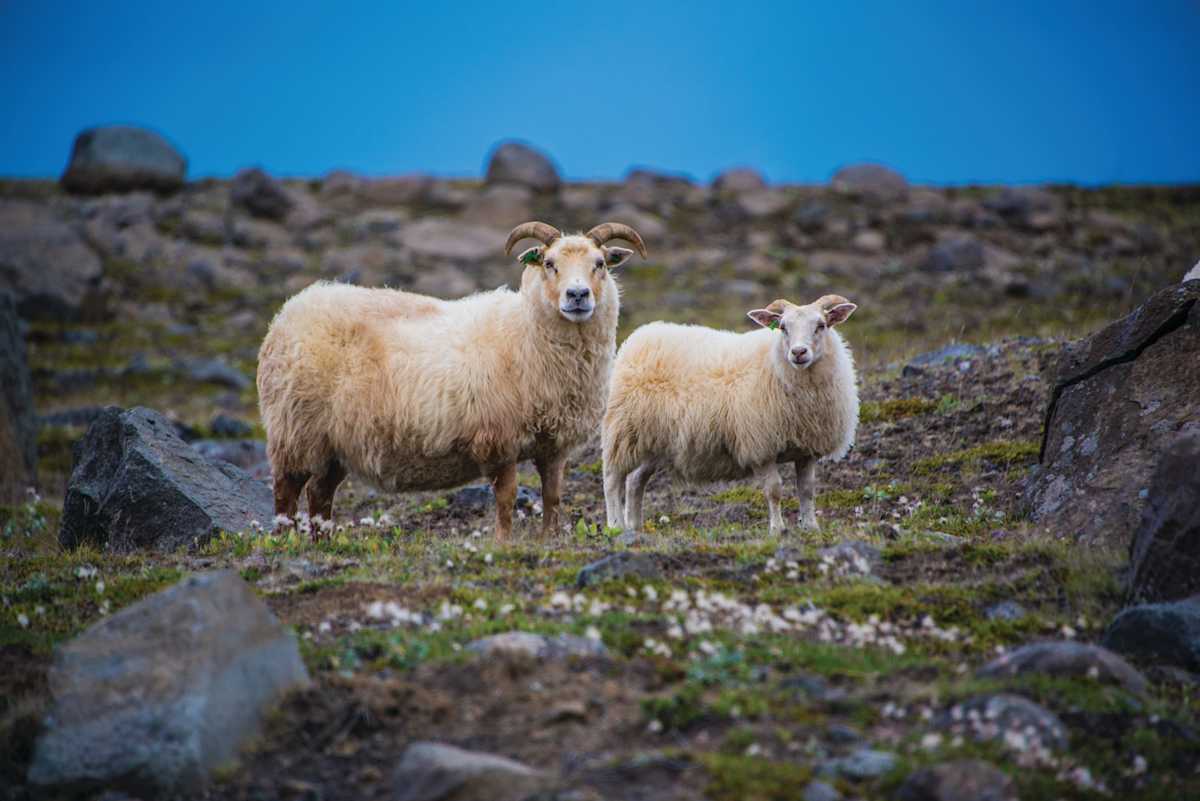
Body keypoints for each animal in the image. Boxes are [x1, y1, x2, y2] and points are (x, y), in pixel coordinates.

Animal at [256, 221, 647, 540]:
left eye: (600, 264)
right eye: (549, 264)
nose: (577, 296)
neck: (525, 332)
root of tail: (290, 311)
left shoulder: (552, 445)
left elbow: (553, 496)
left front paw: (549, 538)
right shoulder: (498, 441)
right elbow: (506, 498)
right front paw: (503, 543)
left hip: (334, 443)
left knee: (319, 494)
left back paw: (322, 542)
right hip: (295, 431)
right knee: (286, 492)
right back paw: (285, 542)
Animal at [602, 294, 859, 537]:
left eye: (821, 325)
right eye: (783, 327)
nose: (798, 352)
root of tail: (639, 336)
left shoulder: (806, 448)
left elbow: (807, 490)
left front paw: (811, 527)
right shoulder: (760, 446)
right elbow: (774, 490)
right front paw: (778, 530)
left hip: (654, 441)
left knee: (635, 480)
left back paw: (635, 526)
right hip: (623, 432)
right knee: (613, 480)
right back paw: (616, 526)